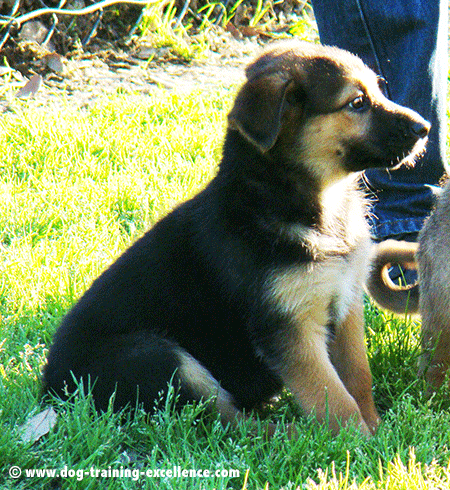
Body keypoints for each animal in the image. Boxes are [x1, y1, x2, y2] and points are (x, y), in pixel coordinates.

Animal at [44, 39, 430, 436]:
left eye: (378, 90)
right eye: (357, 102)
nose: (426, 128)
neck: (317, 208)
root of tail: (51, 389)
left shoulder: (346, 300)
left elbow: (357, 377)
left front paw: (375, 426)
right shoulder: (288, 326)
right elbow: (332, 396)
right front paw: (356, 440)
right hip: (158, 357)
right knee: (226, 421)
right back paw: (289, 434)